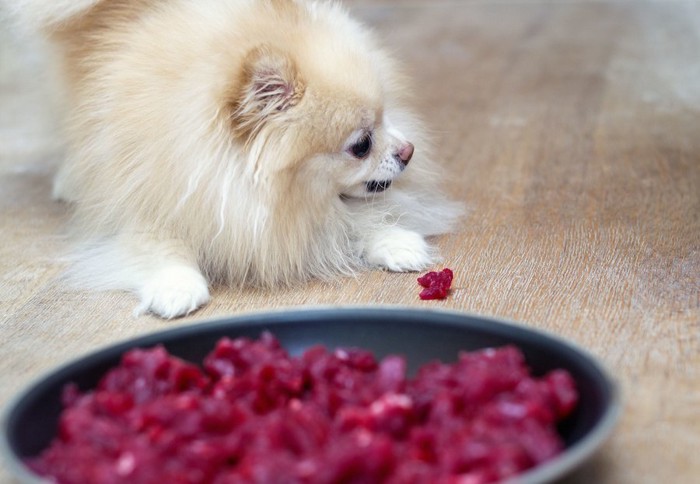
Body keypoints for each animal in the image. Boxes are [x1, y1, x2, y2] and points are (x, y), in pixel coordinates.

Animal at [6, 0, 464, 320]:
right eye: (361, 144)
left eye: (386, 116)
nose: (407, 151)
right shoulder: (142, 202)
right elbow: (156, 245)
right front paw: (176, 285)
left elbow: (353, 216)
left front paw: (396, 240)